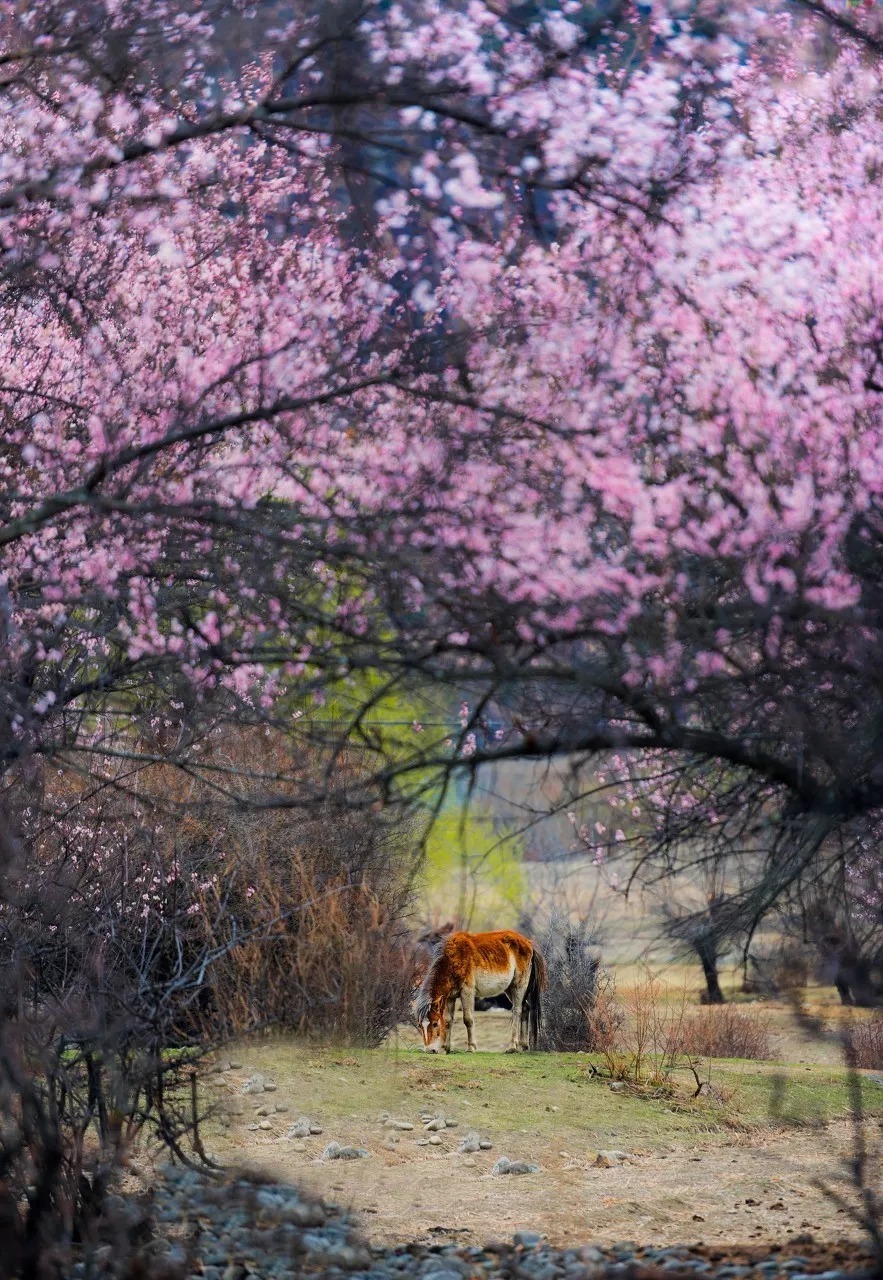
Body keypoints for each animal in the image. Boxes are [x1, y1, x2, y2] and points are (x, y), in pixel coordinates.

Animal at [412, 931, 542, 1049]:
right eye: (420, 1026)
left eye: (434, 1024)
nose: (429, 1050)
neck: (453, 958)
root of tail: (528, 942)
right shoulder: (450, 997)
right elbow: (448, 1021)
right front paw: (446, 1048)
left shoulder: (467, 992)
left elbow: (468, 1019)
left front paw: (471, 1047)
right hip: (509, 989)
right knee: (525, 1008)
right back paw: (523, 1045)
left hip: (518, 986)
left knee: (517, 1011)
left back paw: (512, 1046)